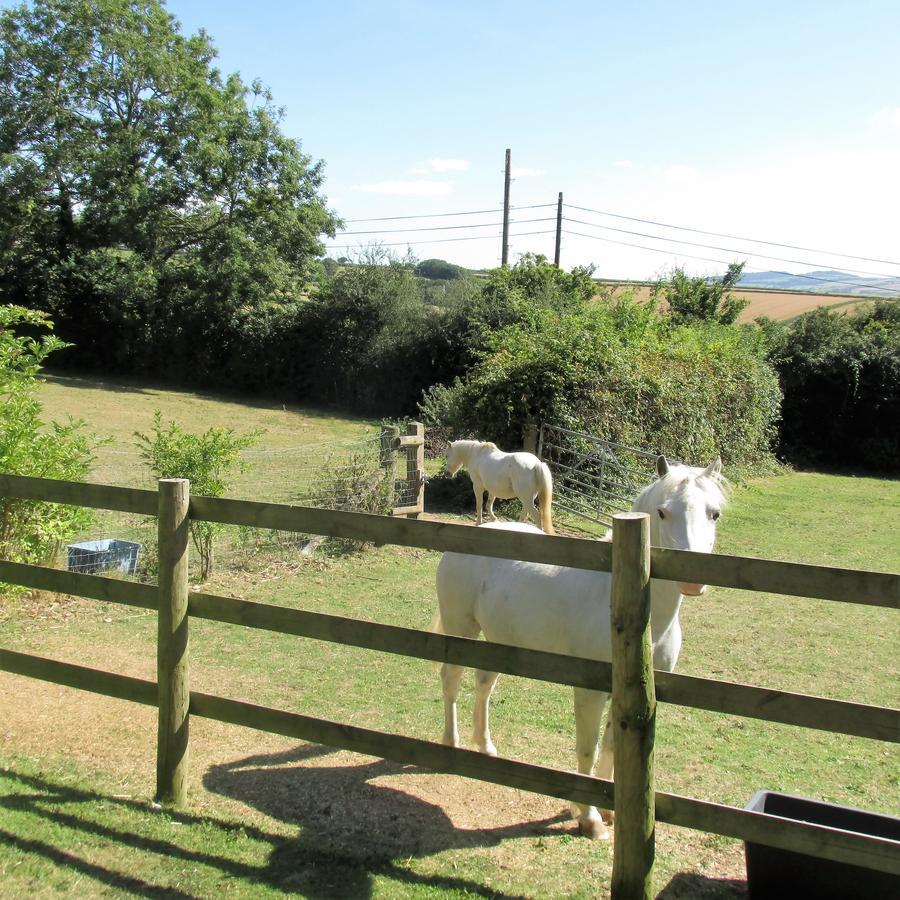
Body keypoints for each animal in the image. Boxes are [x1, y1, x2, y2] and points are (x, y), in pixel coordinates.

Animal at [432, 458, 728, 844]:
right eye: (663, 512)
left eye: (714, 513)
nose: (692, 580)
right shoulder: (590, 690)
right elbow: (587, 749)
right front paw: (589, 819)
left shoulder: (630, 696)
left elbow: (611, 746)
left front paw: (608, 809)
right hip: (461, 629)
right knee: (451, 681)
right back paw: (450, 745)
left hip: (499, 640)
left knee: (483, 686)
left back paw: (486, 747)